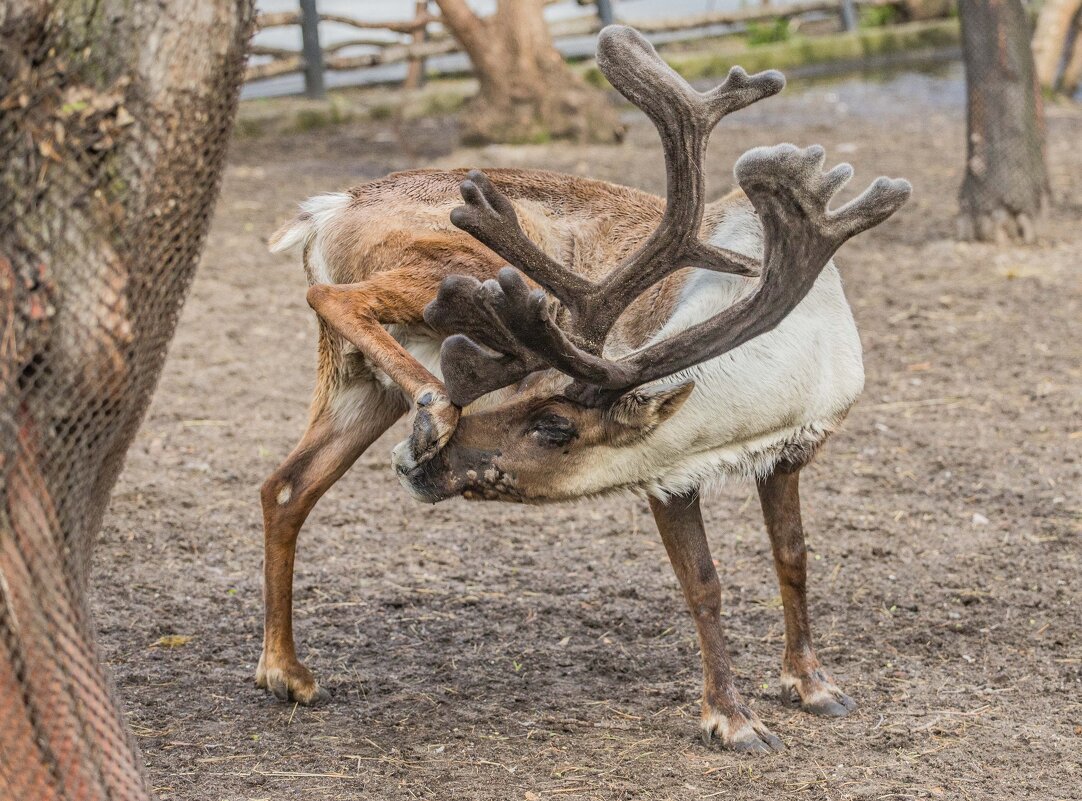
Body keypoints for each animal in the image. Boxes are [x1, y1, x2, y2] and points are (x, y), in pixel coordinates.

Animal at [258, 25, 911, 753]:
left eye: (553, 424)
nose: (415, 467)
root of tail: (327, 211)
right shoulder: (669, 474)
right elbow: (704, 584)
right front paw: (732, 717)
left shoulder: (794, 449)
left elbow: (792, 558)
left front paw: (813, 684)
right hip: (461, 273)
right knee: (331, 299)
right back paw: (431, 409)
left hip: (361, 384)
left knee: (285, 485)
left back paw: (286, 671)